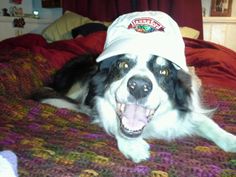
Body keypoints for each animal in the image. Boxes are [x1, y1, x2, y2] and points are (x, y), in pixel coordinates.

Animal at [31, 11, 236, 163]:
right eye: (123, 64)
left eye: (164, 71)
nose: (138, 87)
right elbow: (114, 120)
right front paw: (133, 145)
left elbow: (206, 122)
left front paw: (230, 140)